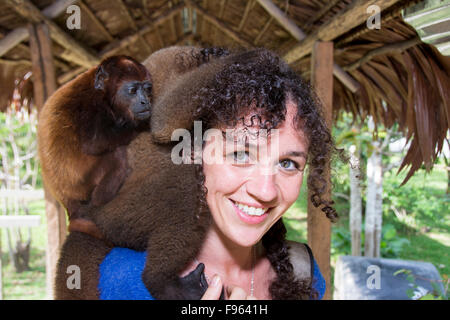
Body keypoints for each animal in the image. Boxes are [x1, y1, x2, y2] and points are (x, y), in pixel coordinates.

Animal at [37, 55, 153, 220]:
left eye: (147, 89)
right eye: (133, 90)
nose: (146, 101)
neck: (103, 94)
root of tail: (65, 199)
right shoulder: (89, 106)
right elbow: (94, 143)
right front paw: (144, 124)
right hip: (85, 182)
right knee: (117, 152)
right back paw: (102, 197)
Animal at [54, 46, 234, 298]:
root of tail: (88, 214)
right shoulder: (166, 63)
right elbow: (162, 119)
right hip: (116, 214)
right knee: (185, 186)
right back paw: (159, 281)